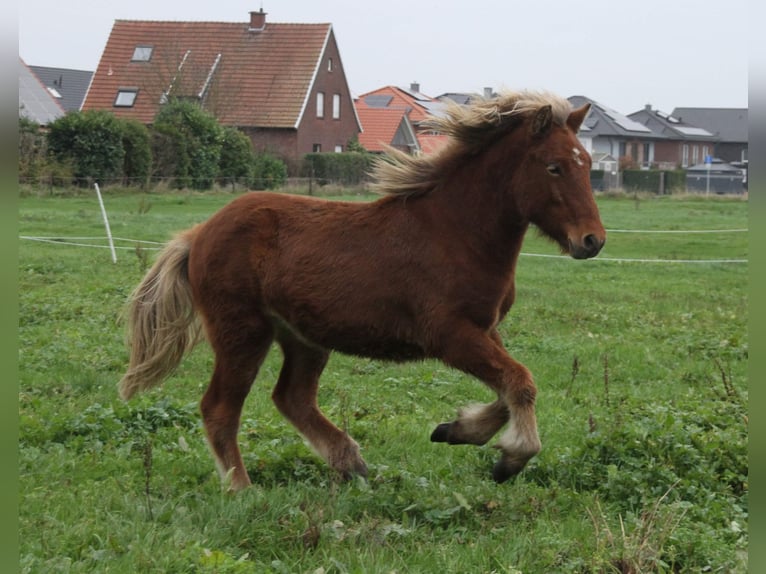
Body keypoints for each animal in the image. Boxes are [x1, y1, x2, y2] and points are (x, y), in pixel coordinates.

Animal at [118, 92, 608, 492]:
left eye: (587, 163)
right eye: (554, 167)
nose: (592, 241)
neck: (454, 232)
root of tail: (198, 234)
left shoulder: (485, 330)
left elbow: (511, 389)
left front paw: (456, 429)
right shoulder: (450, 335)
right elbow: (520, 382)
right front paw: (511, 459)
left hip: (303, 338)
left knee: (292, 397)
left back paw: (350, 463)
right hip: (242, 333)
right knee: (220, 407)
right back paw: (242, 488)